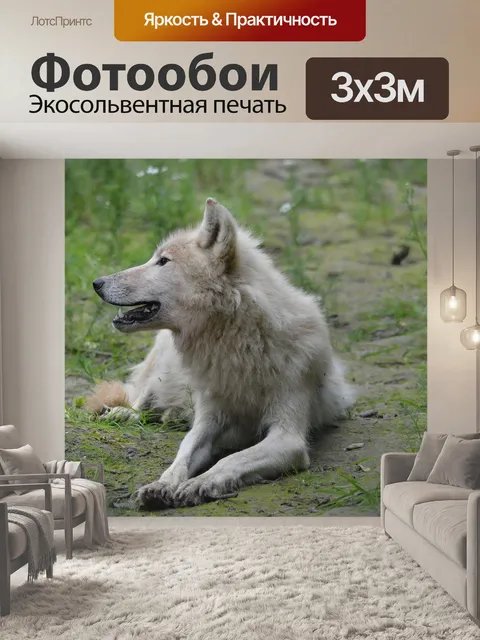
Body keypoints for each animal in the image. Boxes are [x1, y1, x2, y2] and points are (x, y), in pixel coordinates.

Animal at [89, 198, 354, 509]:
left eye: (163, 261)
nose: (96, 282)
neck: (236, 344)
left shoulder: (288, 437)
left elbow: (232, 459)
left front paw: (199, 484)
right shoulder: (208, 420)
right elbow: (182, 454)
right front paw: (162, 485)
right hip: (161, 367)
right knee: (139, 400)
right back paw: (123, 414)